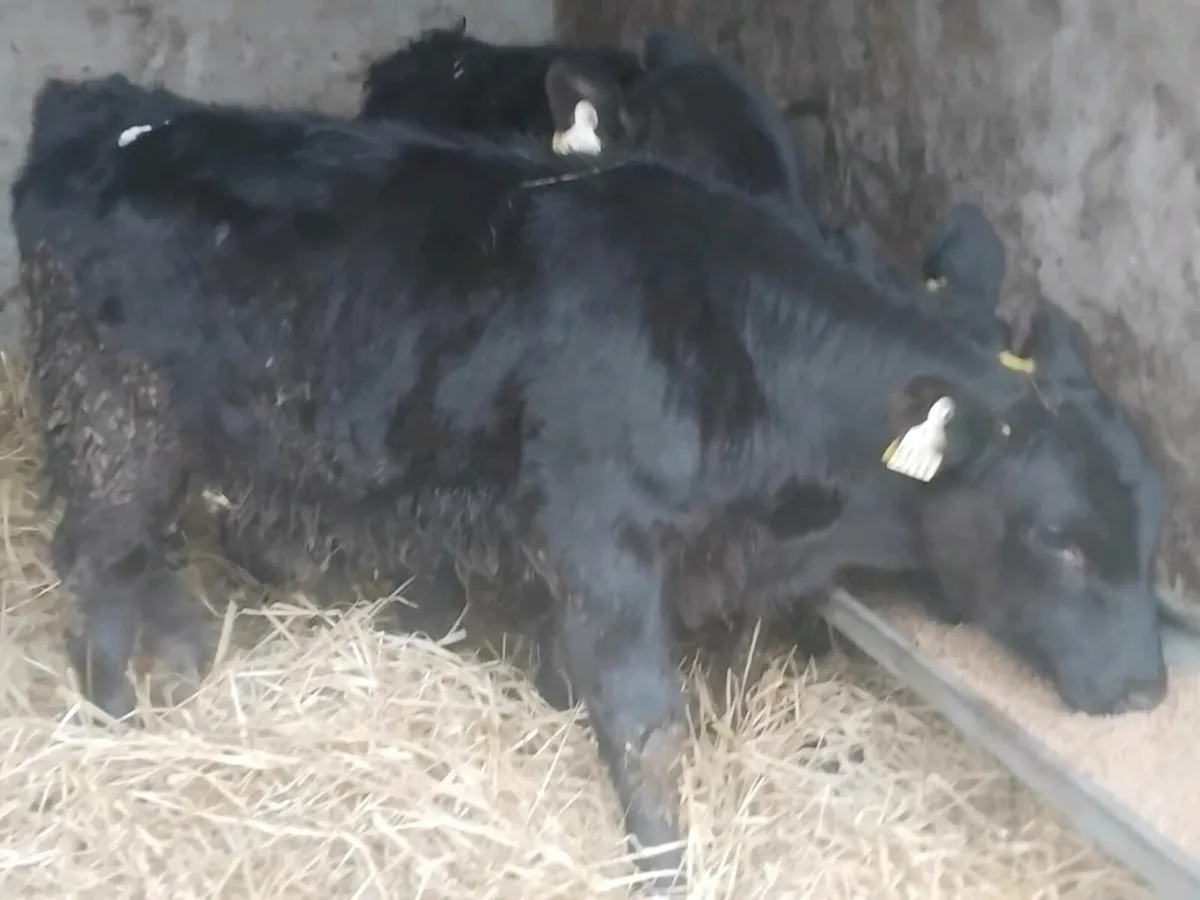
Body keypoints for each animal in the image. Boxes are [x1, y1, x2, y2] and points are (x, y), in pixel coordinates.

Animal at [11, 74, 1167, 892]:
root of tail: (105, 107)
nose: (1150, 689)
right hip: (114, 417)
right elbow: (643, 722)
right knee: (98, 562)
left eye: (1152, 526)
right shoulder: (602, 536)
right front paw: (662, 865)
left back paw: (180, 662)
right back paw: (119, 715)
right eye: (1061, 539)